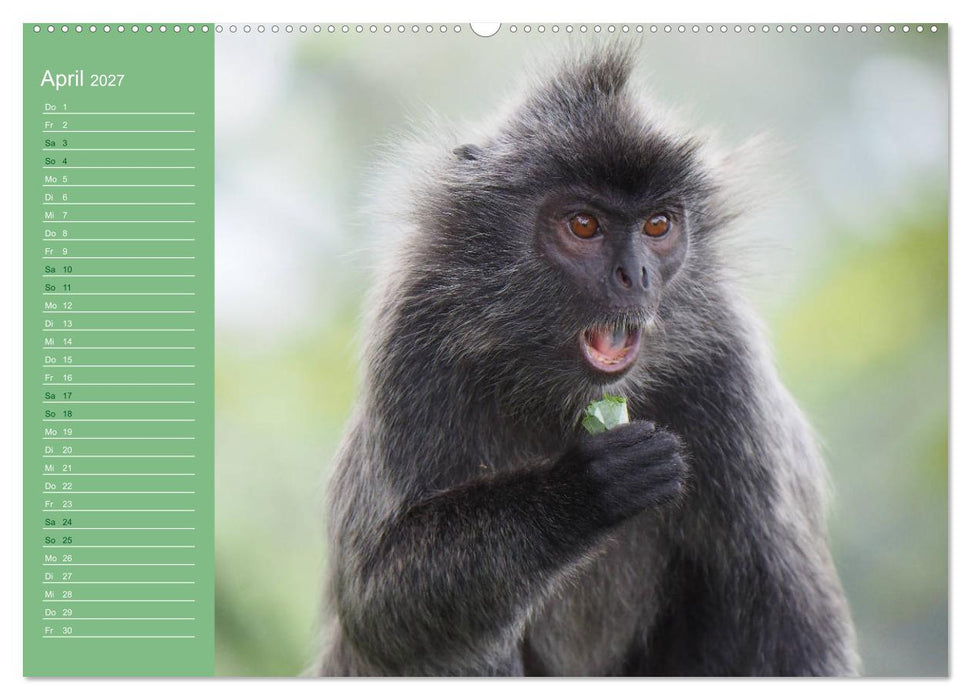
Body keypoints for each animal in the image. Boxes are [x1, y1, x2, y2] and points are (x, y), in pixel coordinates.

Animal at [316, 45, 861, 677]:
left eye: (658, 224)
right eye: (584, 225)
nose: (636, 275)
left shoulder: (727, 367)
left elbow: (798, 635)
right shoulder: (414, 337)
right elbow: (376, 606)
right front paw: (581, 489)